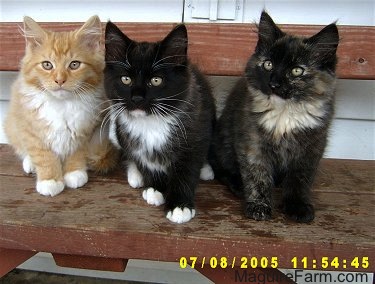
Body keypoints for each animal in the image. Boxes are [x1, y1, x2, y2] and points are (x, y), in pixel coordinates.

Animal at [3, 16, 117, 196]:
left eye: (74, 64)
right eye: (47, 65)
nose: (60, 80)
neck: (62, 104)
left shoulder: (85, 130)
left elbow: (77, 152)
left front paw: (74, 172)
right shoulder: (31, 129)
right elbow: (43, 156)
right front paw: (50, 181)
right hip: (12, 124)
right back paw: (30, 163)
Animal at [103, 22, 216, 224]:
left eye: (156, 80)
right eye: (126, 79)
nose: (137, 98)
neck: (151, 122)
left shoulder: (194, 133)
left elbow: (187, 170)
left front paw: (179, 206)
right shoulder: (129, 134)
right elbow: (144, 161)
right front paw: (155, 187)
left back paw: (206, 169)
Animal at [212, 12, 340, 223]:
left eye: (296, 70)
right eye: (268, 64)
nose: (274, 83)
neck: (285, 113)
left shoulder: (312, 148)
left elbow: (299, 180)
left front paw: (297, 206)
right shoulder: (252, 143)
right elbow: (258, 176)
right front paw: (259, 206)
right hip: (224, 142)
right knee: (223, 169)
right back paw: (238, 184)